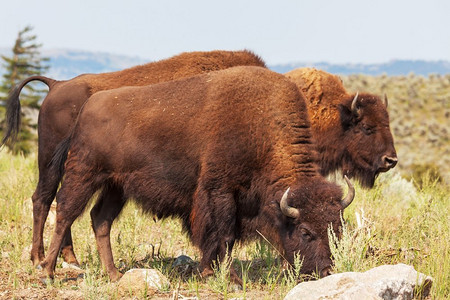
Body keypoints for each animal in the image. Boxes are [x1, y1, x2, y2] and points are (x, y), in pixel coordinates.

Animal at [0, 49, 266, 268]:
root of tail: (57, 84)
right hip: (51, 163)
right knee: (43, 199)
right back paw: (38, 259)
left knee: (59, 203)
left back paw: (71, 259)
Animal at [40, 66, 354, 284]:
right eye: (305, 231)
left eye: (337, 228)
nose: (327, 271)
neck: (263, 130)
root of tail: (87, 107)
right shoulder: (220, 191)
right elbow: (222, 234)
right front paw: (225, 276)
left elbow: (224, 236)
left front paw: (212, 271)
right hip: (84, 174)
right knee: (65, 212)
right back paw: (48, 272)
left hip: (116, 187)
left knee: (100, 219)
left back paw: (114, 274)